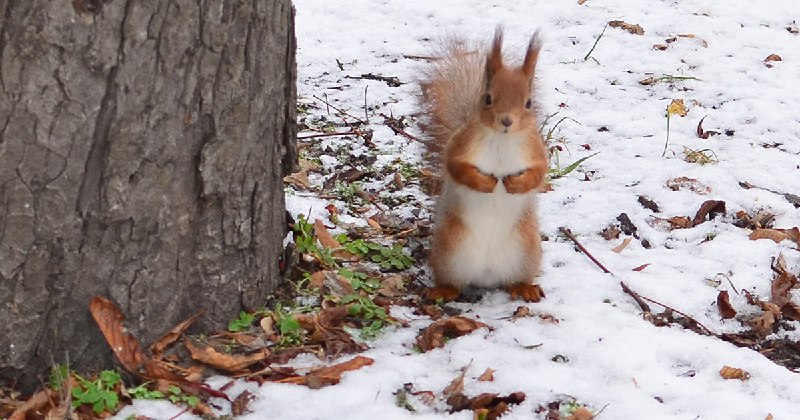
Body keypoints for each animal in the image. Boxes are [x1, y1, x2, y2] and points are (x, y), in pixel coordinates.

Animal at [418, 27, 552, 302]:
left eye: (528, 103)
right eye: (487, 98)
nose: (506, 121)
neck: (502, 139)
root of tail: (487, 276)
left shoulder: (535, 150)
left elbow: (539, 172)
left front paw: (516, 185)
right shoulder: (461, 145)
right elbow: (456, 166)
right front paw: (484, 183)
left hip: (526, 252)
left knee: (514, 280)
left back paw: (525, 287)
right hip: (450, 251)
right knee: (453, 283)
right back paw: (442, 291)